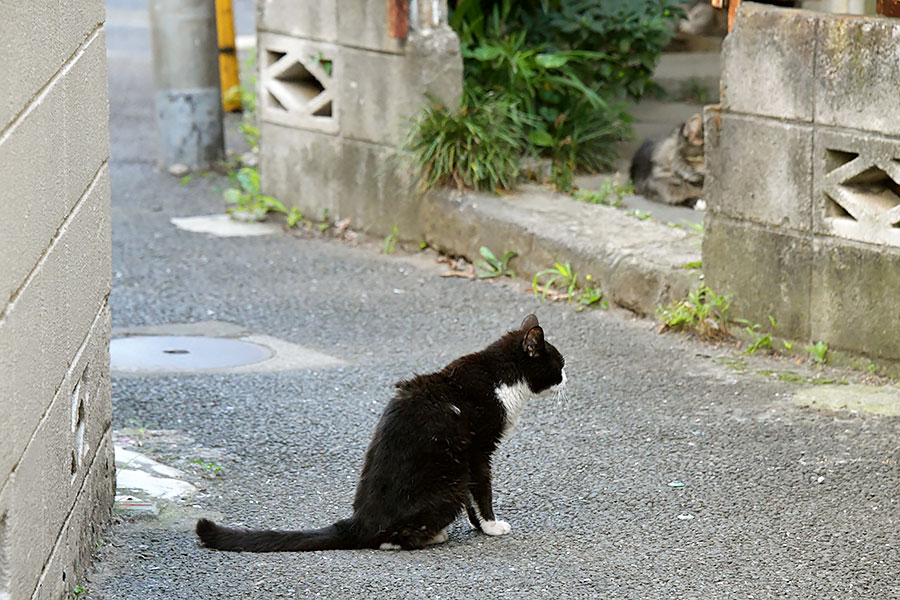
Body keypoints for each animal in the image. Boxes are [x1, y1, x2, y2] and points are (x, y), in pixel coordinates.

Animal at [197, 314, 568, 552]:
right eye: (560, 365)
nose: (568, 379)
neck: (501, 377)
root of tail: (358, 523)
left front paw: (482, 527)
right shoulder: (477, 450)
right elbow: (483, 493)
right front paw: (491, 526)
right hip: (449, 482)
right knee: (391, 539)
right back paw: (431, 536)